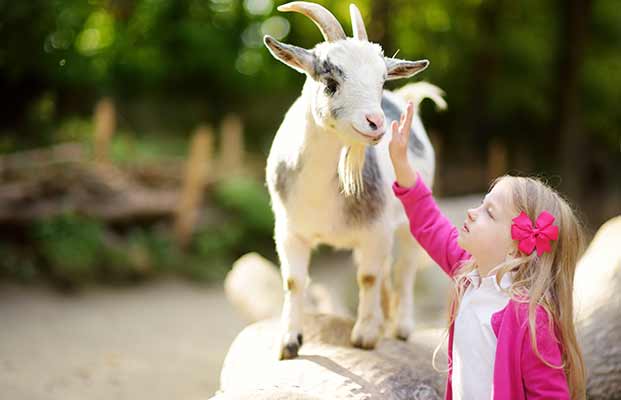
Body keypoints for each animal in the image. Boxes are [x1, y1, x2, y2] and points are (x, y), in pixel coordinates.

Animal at [262, 0, 446, 360]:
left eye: (381, 81)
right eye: (330, 81)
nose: (375, 122)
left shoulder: (376, 231)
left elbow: (369, 277)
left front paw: (365, 335)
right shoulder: (289, 232)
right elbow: (294, 281)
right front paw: (288, 342)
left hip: (406, 225)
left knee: (404, 270)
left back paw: (401, 327)